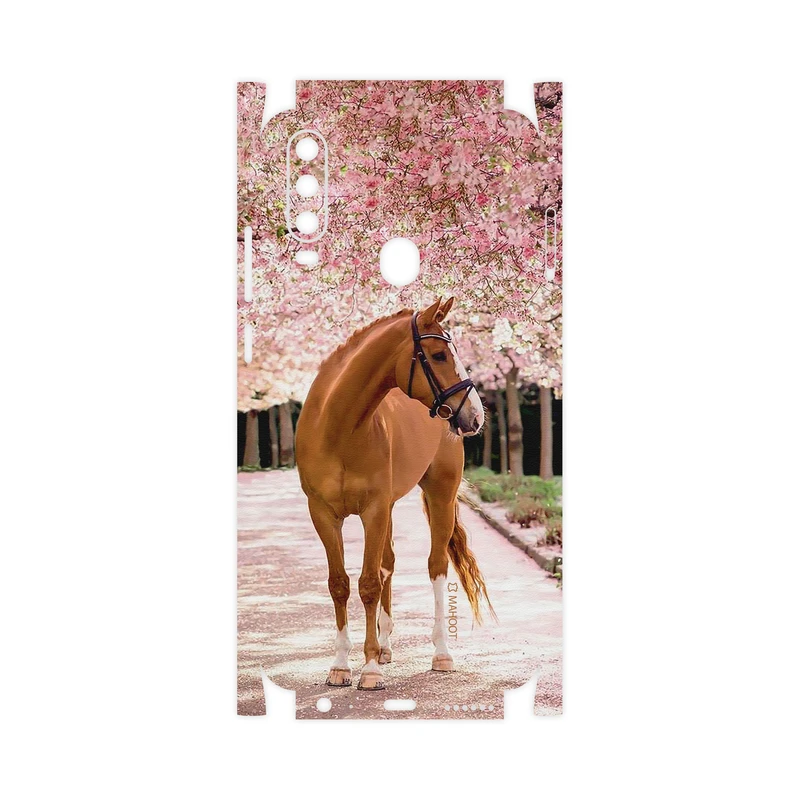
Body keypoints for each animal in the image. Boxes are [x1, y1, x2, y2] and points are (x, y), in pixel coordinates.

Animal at [295, 297, 494, 690]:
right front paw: (341, 665)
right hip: (388, 508)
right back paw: (385, 646)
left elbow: (369, 583)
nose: (476, 416)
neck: (338, 427)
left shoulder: (373, 510)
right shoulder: (324, 514)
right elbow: (340, 584)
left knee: (435, 566)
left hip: (439, 494)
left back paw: (441, 653)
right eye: (438, 355)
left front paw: (369, 669)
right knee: (388, 563)